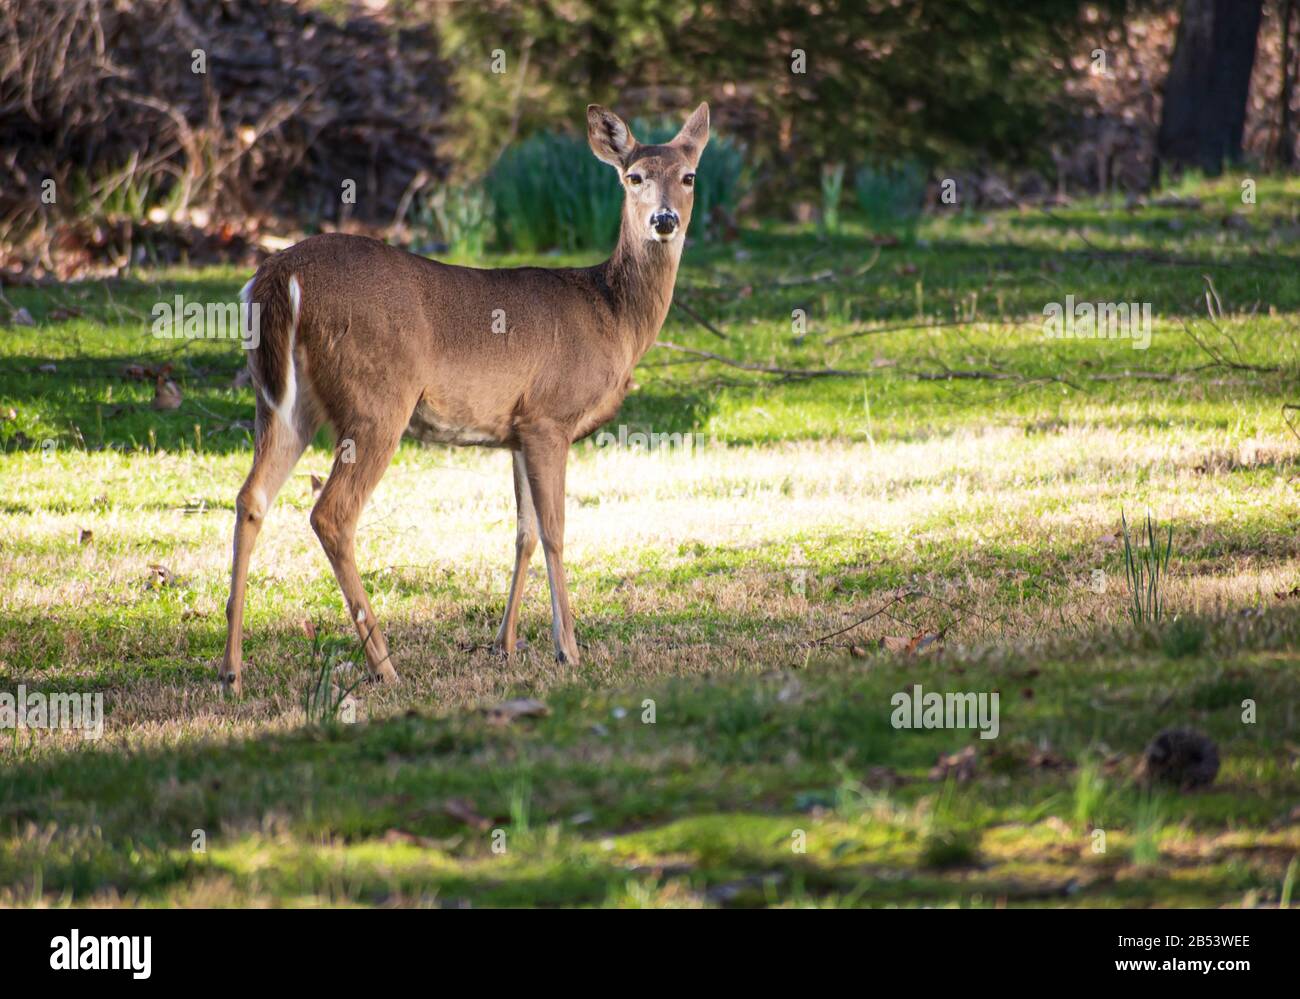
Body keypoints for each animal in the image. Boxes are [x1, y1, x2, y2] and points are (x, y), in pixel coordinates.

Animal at [220, 102, 710, 695]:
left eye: (688, 176)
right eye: (633, 177)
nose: (664, 220)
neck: (613, 317)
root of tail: (279, 275)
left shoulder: (518, 430)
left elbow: (523, 533)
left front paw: (506, 644)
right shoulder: (550, 416)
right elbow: (555, 531)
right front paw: (568, 649)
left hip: (283, 402)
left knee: (251, 497)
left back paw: (231, 670)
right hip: (377, 400)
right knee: (331, 514)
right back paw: (384, 666)